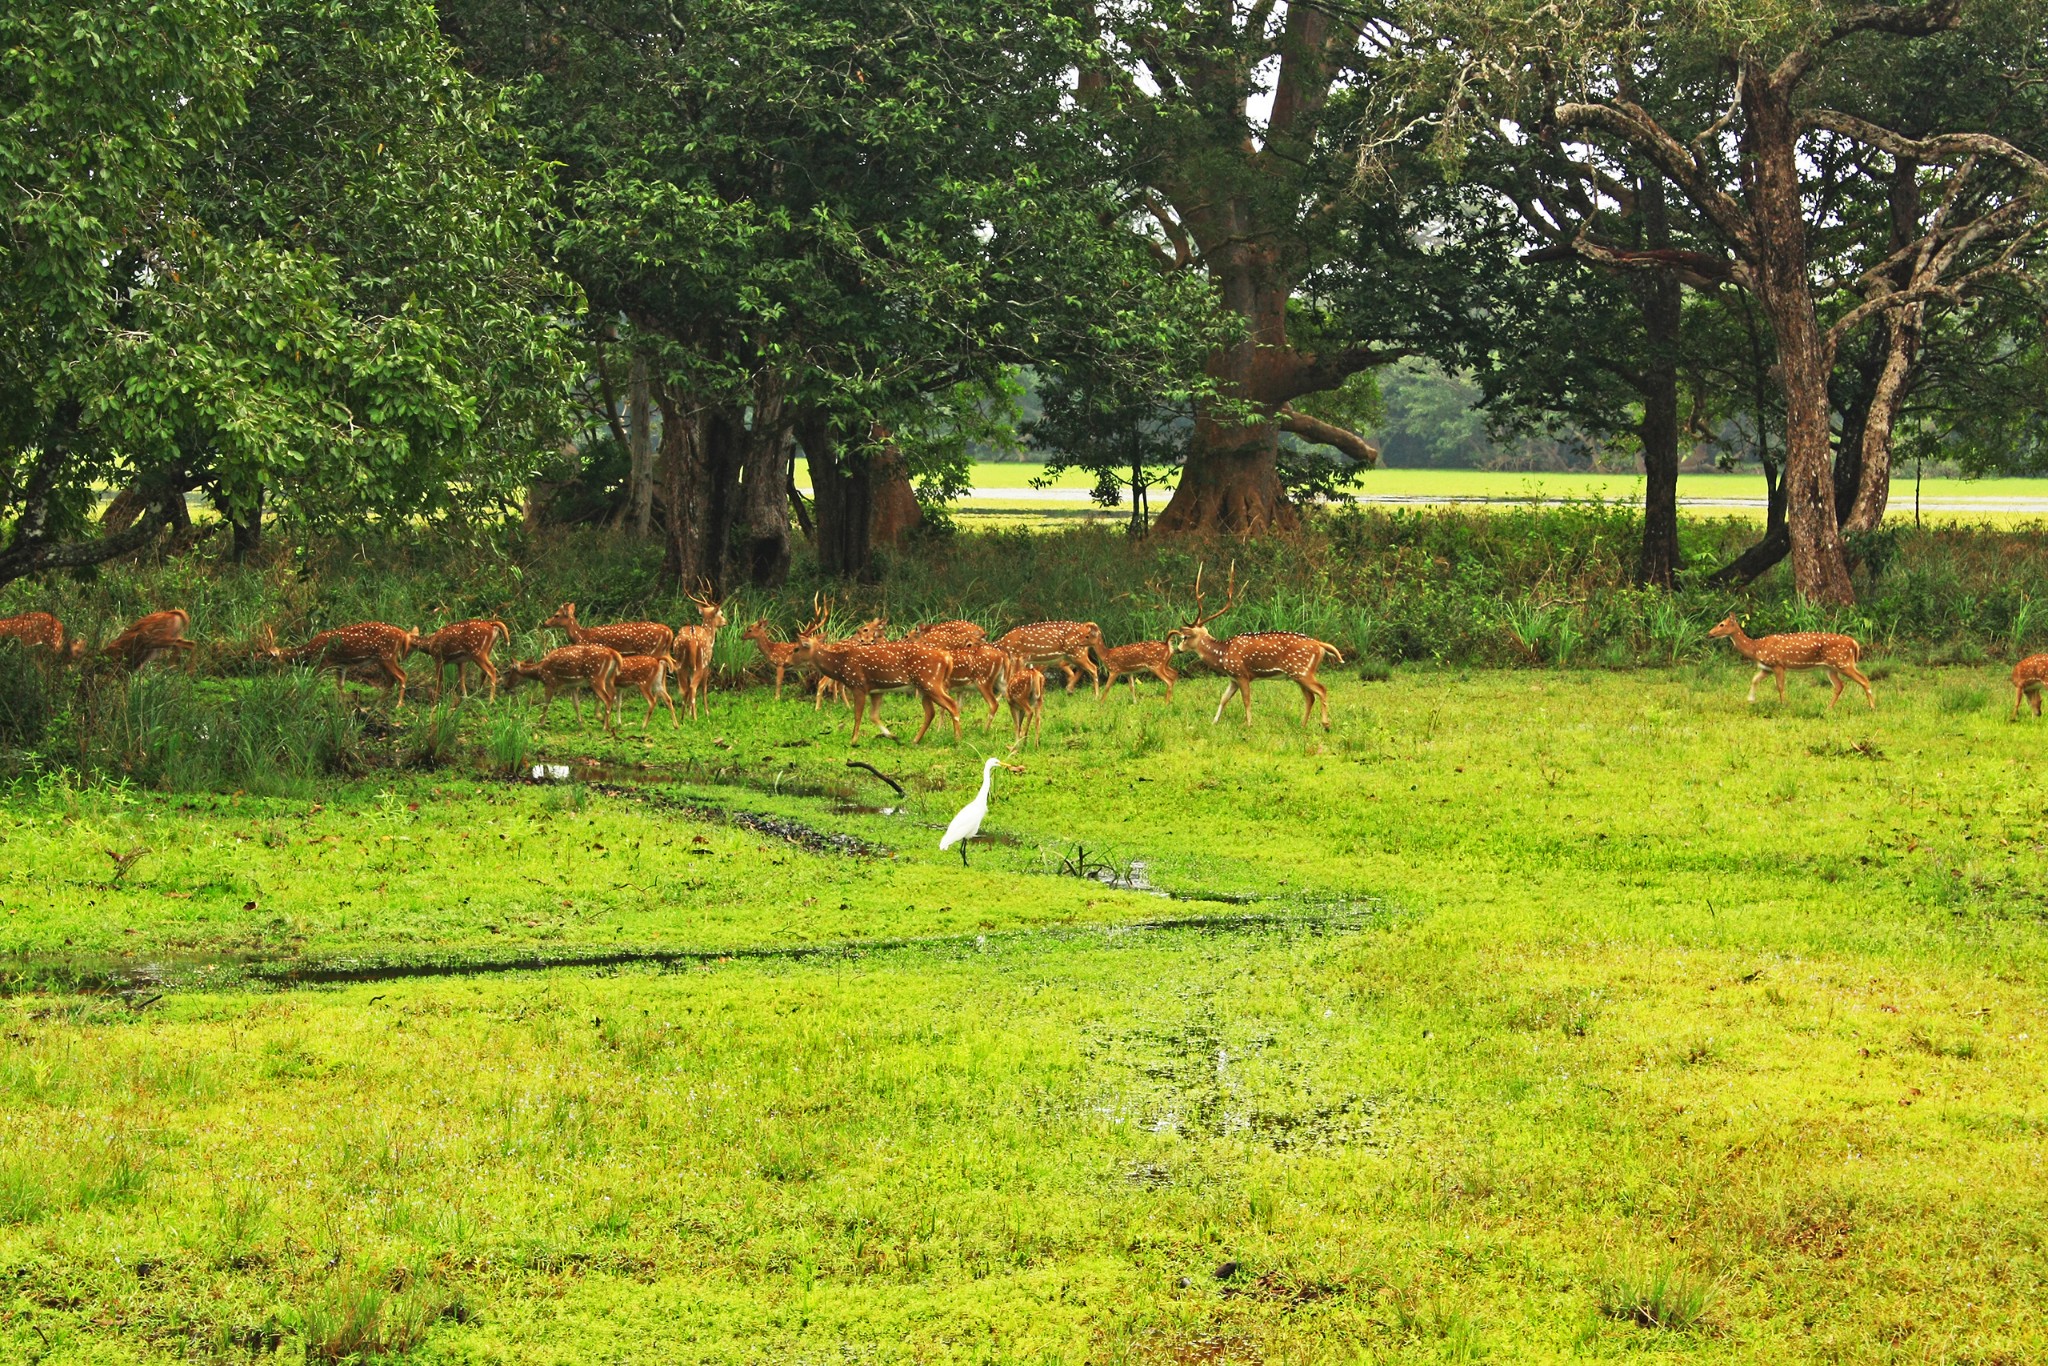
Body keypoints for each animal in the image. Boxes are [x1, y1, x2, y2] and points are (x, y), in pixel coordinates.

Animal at [264, 618, 423, 704]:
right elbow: (340, 684)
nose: (268, 672)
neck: (309, 652)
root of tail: (403, 635)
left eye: (269, 657)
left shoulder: (322, 661)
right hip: (382, 659)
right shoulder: (341, 665)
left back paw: (398, 705)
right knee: (391, 680)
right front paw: (342, 703)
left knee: (402, 675)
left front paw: (307, 697)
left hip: (386, 655)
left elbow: (315, 681)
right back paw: (377, 703)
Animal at [790, 602, 966, 749]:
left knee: (951, 705)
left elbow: (858, 715)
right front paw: (894, 736)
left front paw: (853, 741)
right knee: (931, 712)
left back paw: (957, 740)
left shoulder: (858, 685)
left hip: (929, 681)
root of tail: (947, 658)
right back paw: (915, 740)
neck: (840, 665)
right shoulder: (877, 690)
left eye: (796, 648)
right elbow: (873, 715)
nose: (787, 661)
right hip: (924, 686)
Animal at [1179, 565, 1335, 733]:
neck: (1223, 654)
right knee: (1310, 697)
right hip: (1299, 674)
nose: (1178, 648)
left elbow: (1246, 700)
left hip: (1302, 670)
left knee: (1322, 689)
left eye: (1185, 637)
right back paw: (1302, 725)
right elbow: (1223, 698)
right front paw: (1214, 722)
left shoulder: (1242, 674)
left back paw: (1325, 724)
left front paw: (1248, 724)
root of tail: (1320, 645)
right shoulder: (1233, 678)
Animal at [1703, 614, 1875, 712]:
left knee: (1864, 679)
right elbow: (1754, 679)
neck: (1757, 648)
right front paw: (1751, 699)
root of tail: (1854, 643)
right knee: (1840, 685)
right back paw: (1828, 708)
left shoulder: (1778, 664)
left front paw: (1783, 705)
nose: (1709, 634)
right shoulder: (1767, 667)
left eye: (1721, 624)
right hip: (1830, 667)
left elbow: (1780, 686)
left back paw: (1872, 707)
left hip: (1843, 662)